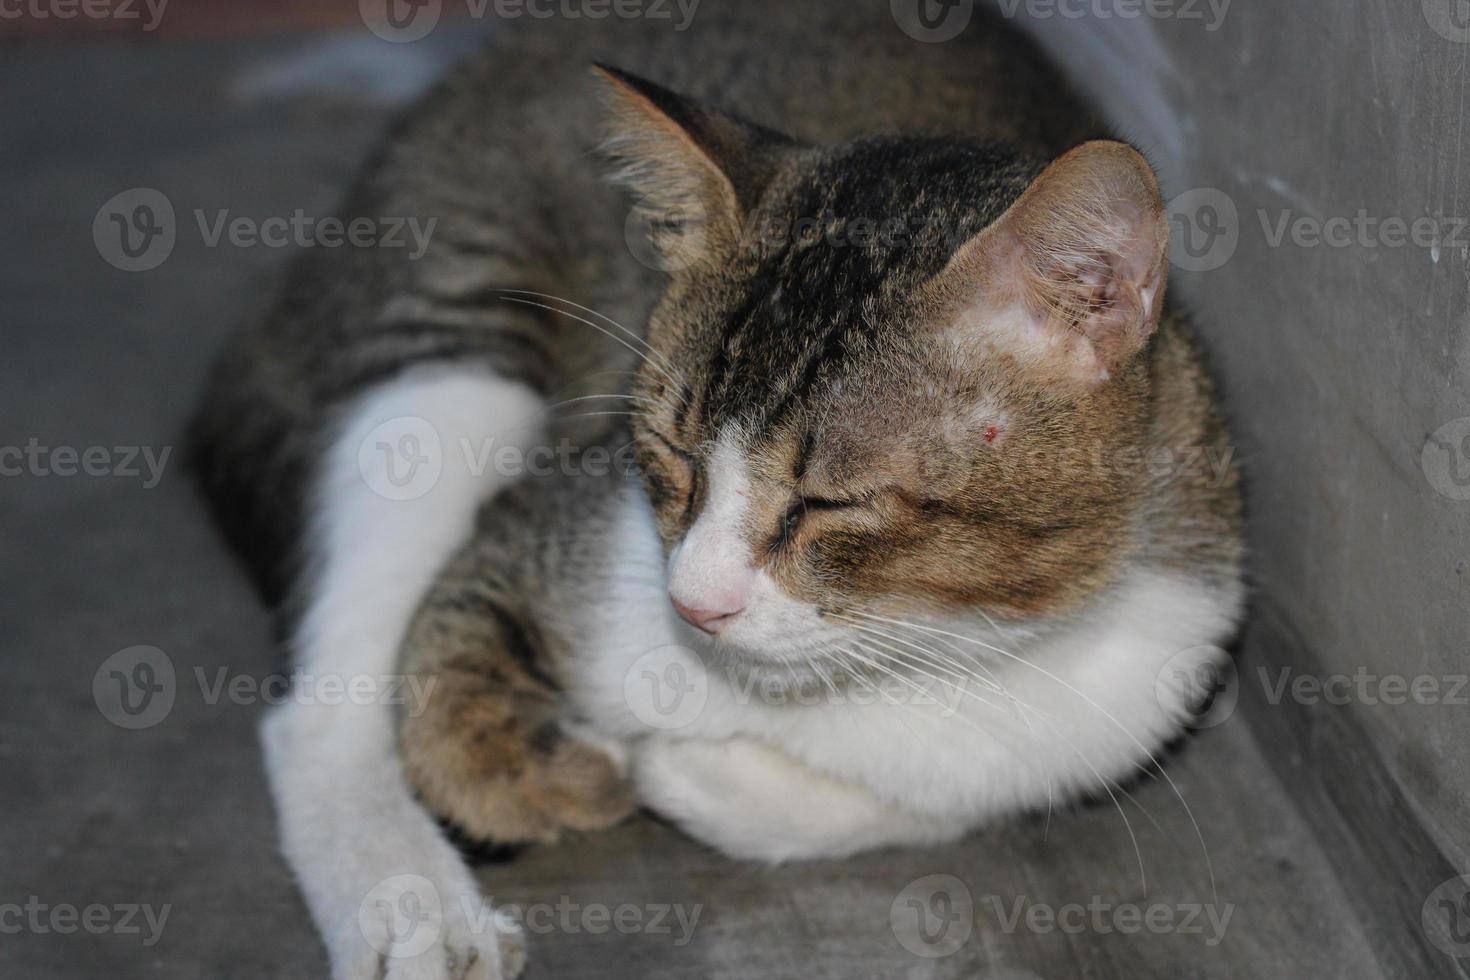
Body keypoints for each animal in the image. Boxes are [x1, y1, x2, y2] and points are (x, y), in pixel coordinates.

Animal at [186, 3, 1240, 975]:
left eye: (830, 502)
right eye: (671, 453)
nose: (694, 604)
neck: (922, 656)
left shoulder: (1133, 690)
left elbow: (907, 807)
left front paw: (690, 775)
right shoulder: (545, 519)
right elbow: (436, 672)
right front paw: (545, 775)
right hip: (448, 333)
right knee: (321, 708)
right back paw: (412, 905)